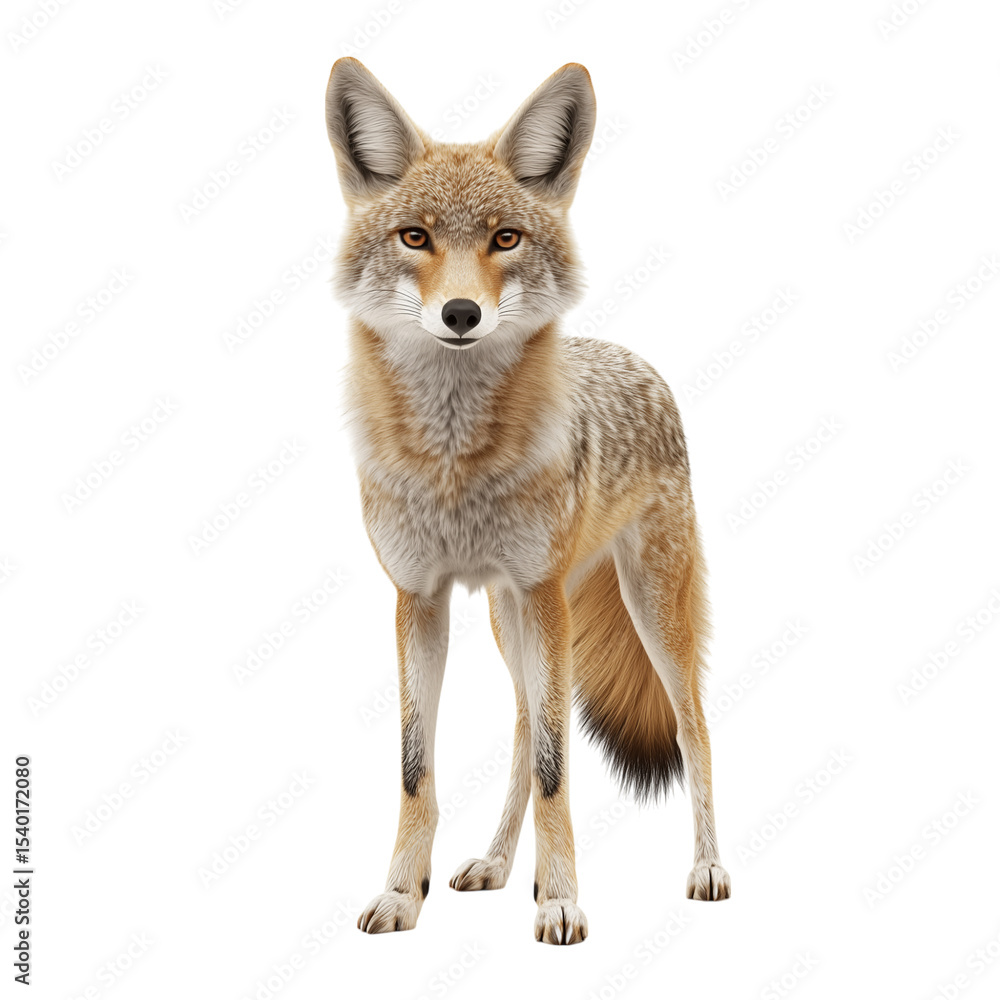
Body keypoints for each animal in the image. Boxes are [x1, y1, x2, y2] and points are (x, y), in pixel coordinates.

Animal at [325, 58, 731, 945]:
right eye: (416, 238)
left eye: (504, 239)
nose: (462, 313)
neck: (456, 466)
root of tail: (633, 358)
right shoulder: (420, 599)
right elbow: (418, 768)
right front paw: (404, 892)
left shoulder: (542, 594)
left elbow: (557, 769)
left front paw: (562, 900)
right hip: (509, 621)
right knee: (520, 725)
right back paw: (495, 863)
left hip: (644, 614)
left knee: (693, 729)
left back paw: (708, 867)